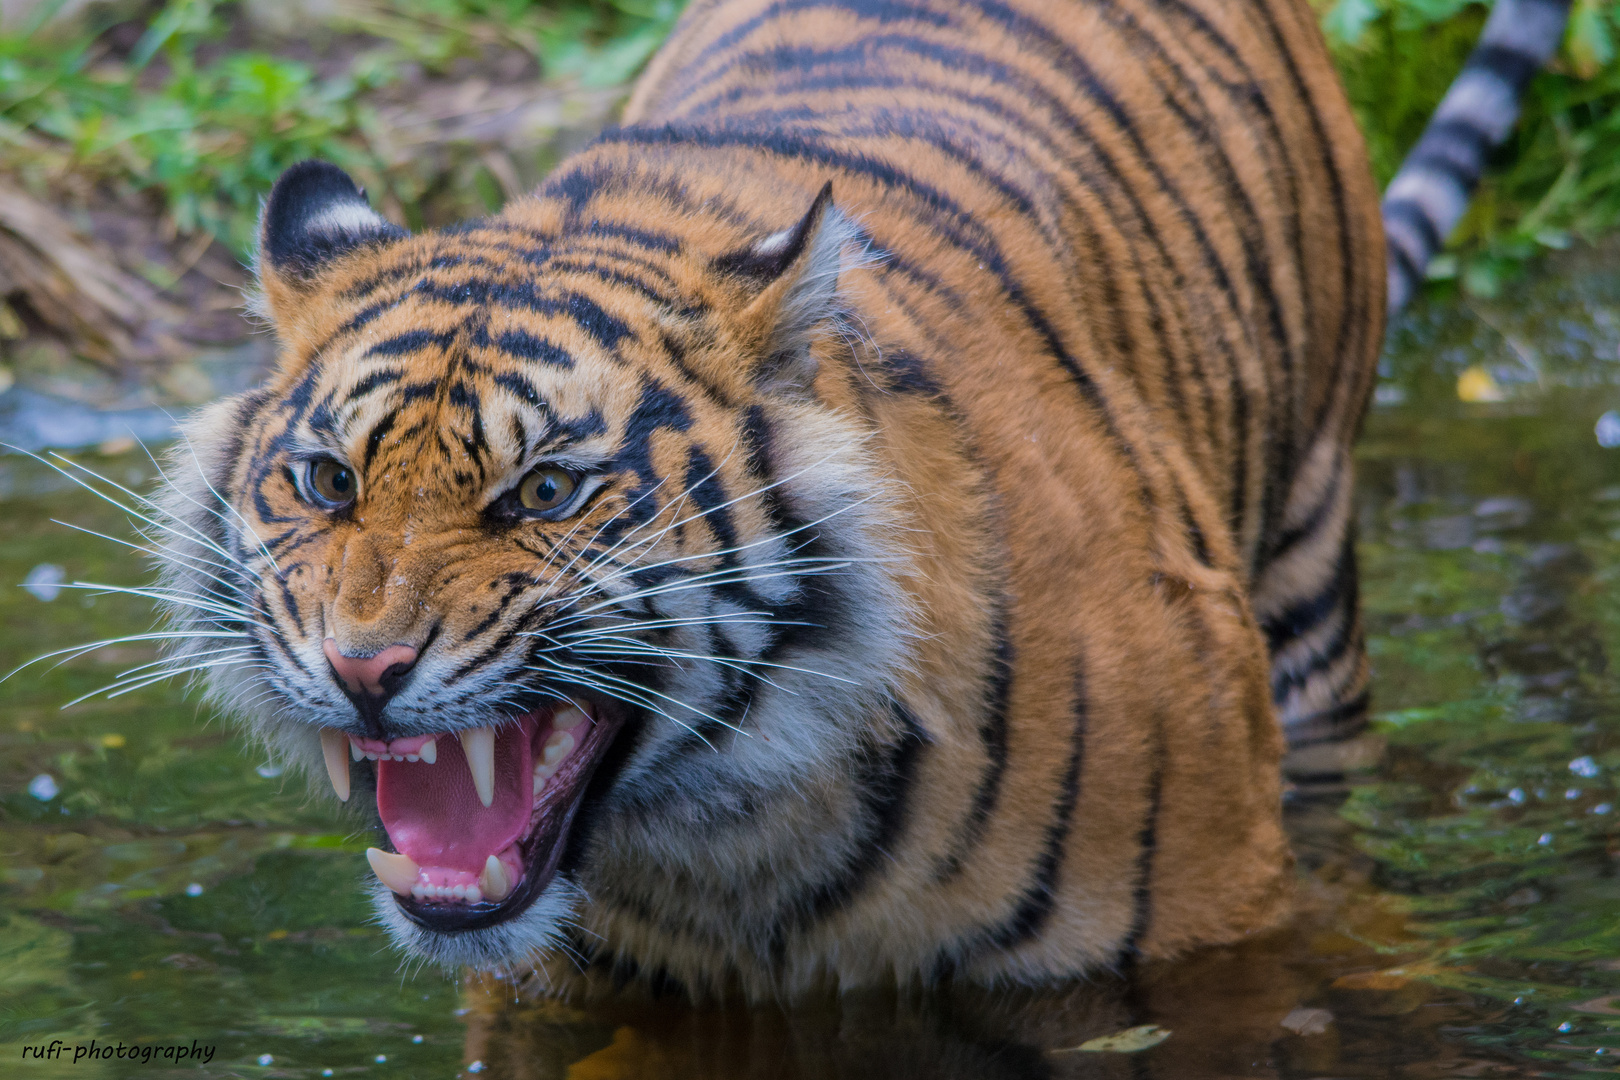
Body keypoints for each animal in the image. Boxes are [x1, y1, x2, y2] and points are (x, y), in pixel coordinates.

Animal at [142, 0, 1568, 1003]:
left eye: (545, 489)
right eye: (327, 481)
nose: (363, 670)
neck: (733, 843)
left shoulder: (1214, 932)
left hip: (1312, 577)